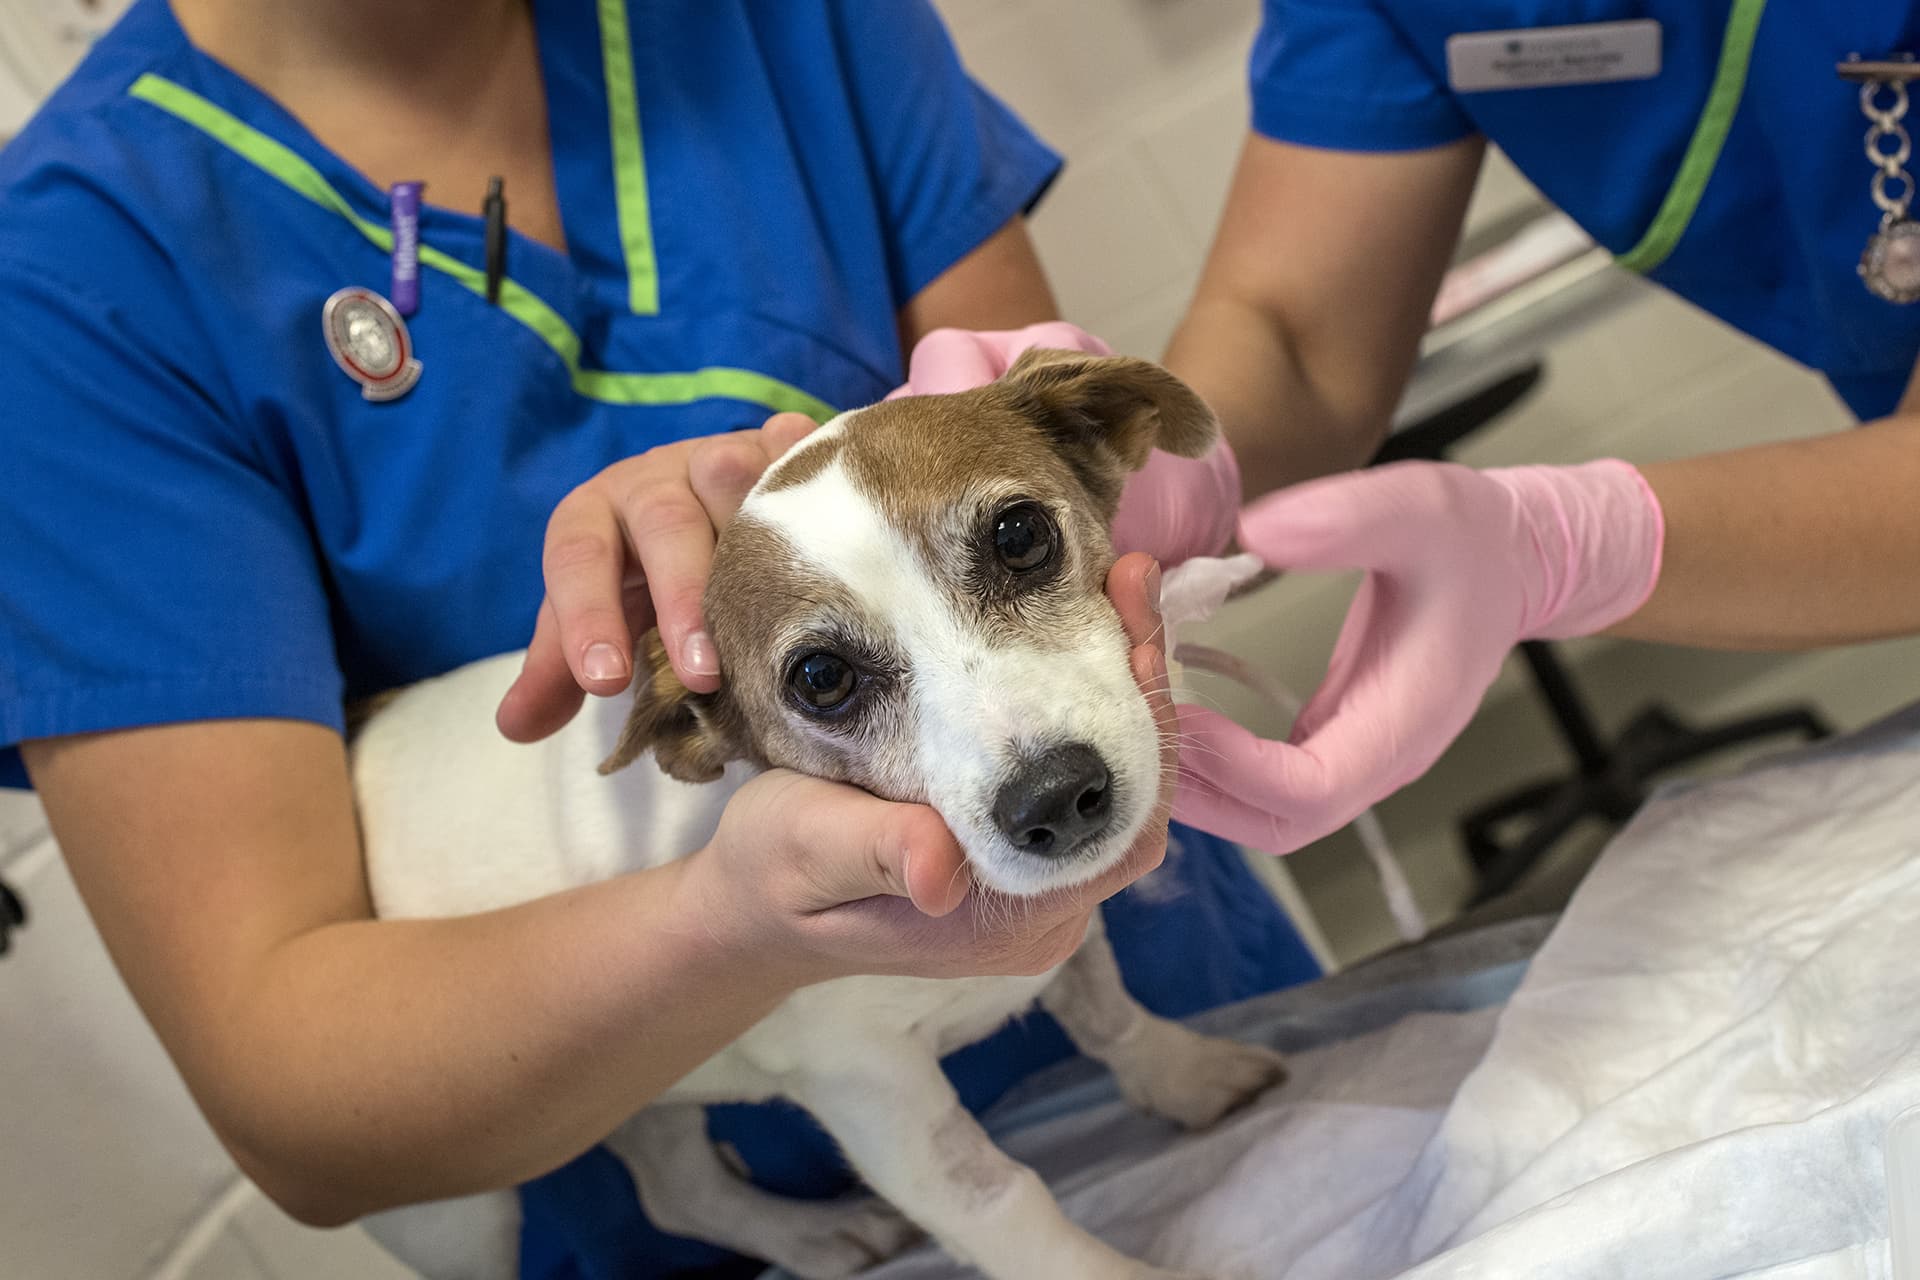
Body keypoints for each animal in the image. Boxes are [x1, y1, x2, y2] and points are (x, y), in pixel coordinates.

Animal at [360, 351, 1290, 1280]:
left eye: (1020, 536)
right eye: (820, 678)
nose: (1055, 800)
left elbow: (1113, 1021)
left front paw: (1184, 1075)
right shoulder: (873, 1090)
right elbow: (1002, 1202)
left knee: (676, 1191)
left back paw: (808, 1236)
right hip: (458, 1216)